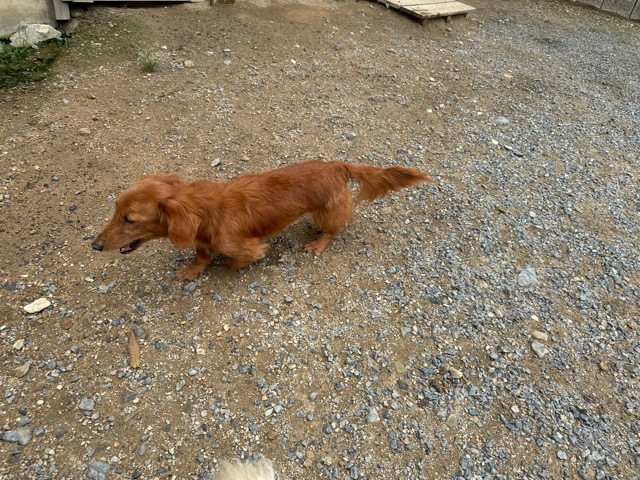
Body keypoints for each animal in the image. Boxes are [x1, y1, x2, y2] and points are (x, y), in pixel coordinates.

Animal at [91, 160, 433, 280]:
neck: (203, 211)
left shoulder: (246, 246)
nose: (94, 245)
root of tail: (337, 164)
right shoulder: (202, 239)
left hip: (327, 211)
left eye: (129, 219)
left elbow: (236, 259)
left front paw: (227, 266)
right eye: (115, 208)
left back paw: (319, 243)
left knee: (334, 230)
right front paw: (193, 269)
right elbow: (201, 254)